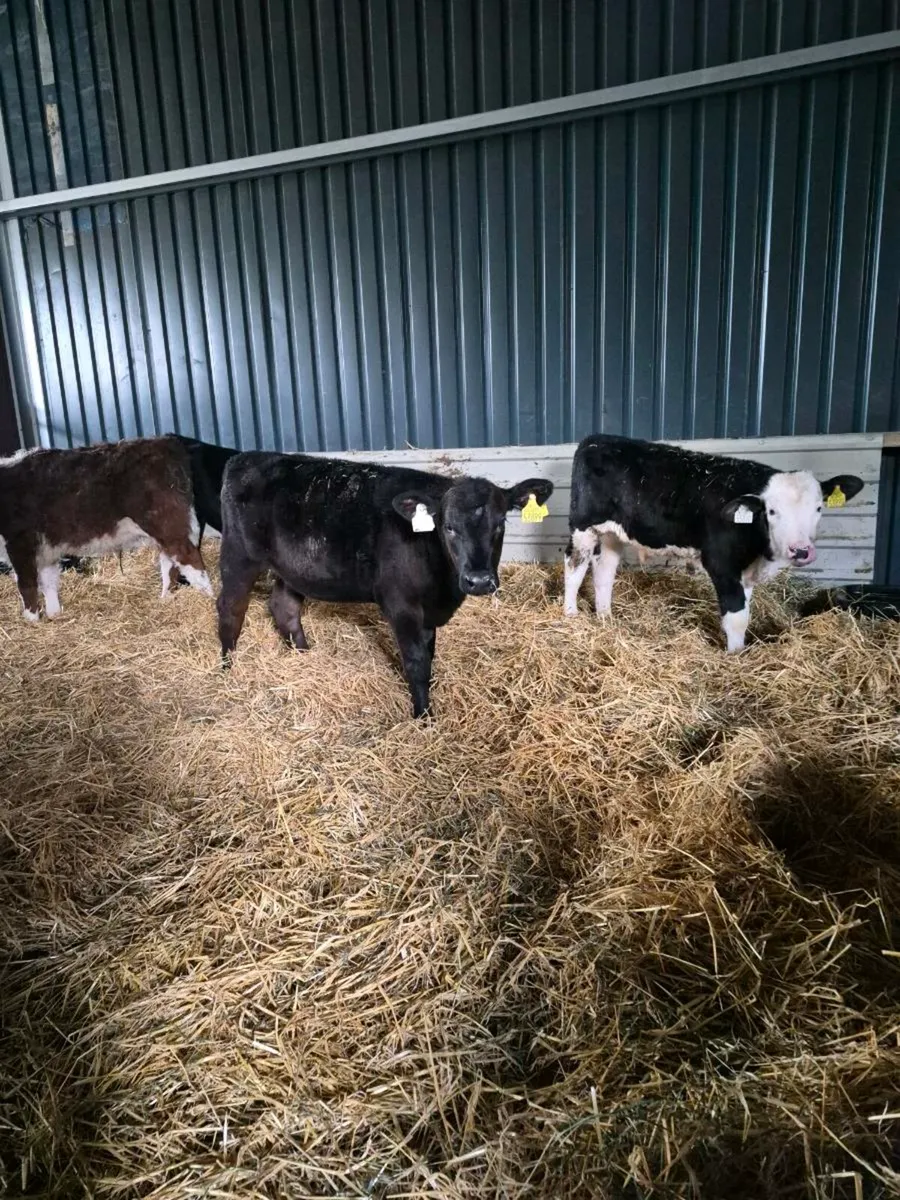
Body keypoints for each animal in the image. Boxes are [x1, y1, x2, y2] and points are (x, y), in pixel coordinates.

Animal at [0, 436, 213, 621]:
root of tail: (165, 442)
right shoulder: (47, 550)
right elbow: (49, 582)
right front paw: (54, 616)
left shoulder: (20, 542)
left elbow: (27, 585)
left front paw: (31, 620)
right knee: (170, 561)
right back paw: (166, 599)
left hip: (165, 522)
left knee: (188, 557)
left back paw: (208, 597)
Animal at [217, 452, 554, 717]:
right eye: (448, 527)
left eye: (500, 524)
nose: (480, 580)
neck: (443, 589)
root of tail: (244, 458)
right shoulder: (401, 604)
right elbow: (416, 660)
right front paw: (423, 715)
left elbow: (430, 652)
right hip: (239, 556)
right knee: (230, 607)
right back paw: (227, 667)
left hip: (292, 569)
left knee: (284, 608)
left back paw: (304, 656)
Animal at [564, 434, 864, 652]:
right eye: (771, 511)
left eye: (818, 508)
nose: (800, 550)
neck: (759, 552)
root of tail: (597, 439)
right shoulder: (721, 562)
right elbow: (736, 617)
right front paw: (736, 656)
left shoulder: (745, 571)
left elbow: (745, 610)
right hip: (583, 525)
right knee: (574, 565)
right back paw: (570, 614)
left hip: (613, 533)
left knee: (604, 571)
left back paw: (605, 618)